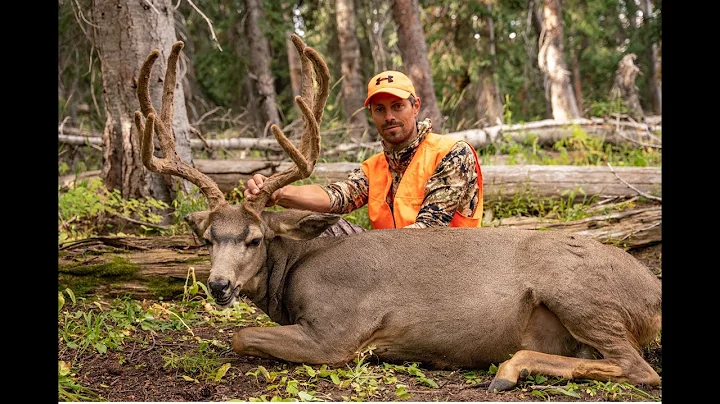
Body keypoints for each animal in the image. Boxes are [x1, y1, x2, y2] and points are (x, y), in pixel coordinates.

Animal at [132, 35, 660, 392]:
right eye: (208, 238)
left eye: (255, 239)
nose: (219, 286)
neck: (295, 271)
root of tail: (652, 293)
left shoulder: (338, 332)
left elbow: (242, 335)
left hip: (578, 291)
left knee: (639, 368)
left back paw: (508, 370)